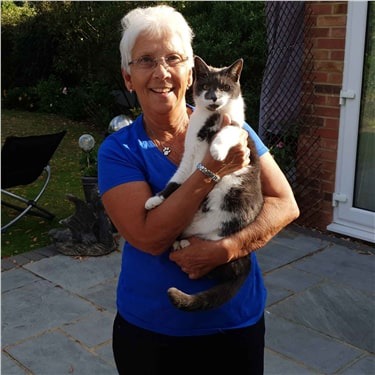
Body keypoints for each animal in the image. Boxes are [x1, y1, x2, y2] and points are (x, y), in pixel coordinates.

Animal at [145, 55, 264, 312]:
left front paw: (217, 152)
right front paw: (154, 200)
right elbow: (175, 182)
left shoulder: (238, 130)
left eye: (224, 87)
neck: (208, 119)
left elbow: (225, 132)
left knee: (223, 268)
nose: (213, 97)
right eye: (206, 86)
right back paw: (180, 243)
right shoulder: (188, 157)